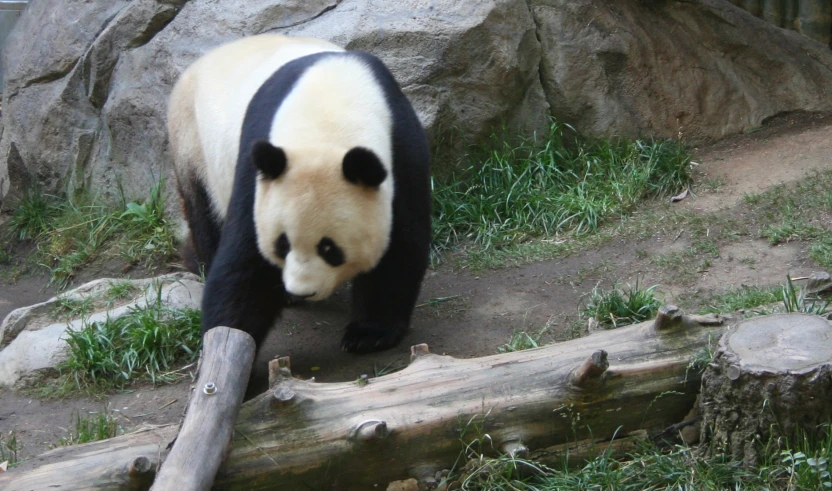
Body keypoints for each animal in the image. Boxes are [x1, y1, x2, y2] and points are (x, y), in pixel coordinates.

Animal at [167, 34, 432, 354]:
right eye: (282, 244)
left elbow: (401, 243)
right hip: (191, 140)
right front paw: (225, 341)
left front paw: (370, 333)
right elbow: (245, 259)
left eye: (330, 248)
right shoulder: (259, 167)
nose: (302, 290)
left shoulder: (402, 147)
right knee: (204, 213)